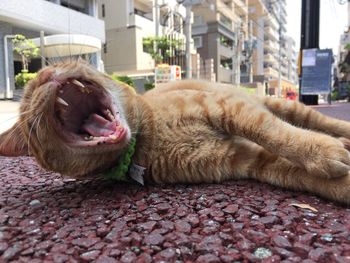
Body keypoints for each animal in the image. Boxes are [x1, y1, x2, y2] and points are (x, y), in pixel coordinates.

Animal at [0, 61, 350, 204]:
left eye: (32, 85)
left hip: (281, 105)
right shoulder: (247, 159)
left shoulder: (230, 108)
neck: (148, 138)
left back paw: (342, 134)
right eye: (28, 98)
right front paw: (342, 183)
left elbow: (277, 133)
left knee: (320, 122)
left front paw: (322, 152)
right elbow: (299, 173)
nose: (43, 73)